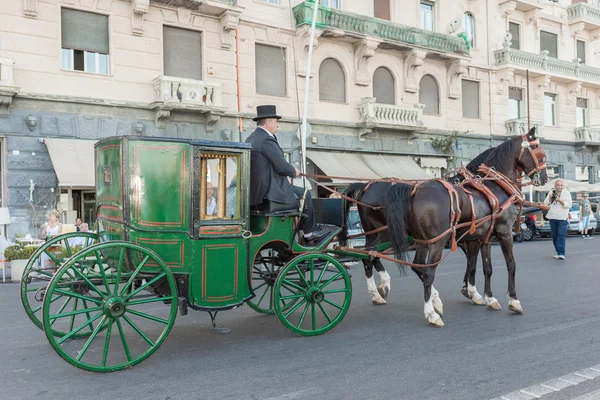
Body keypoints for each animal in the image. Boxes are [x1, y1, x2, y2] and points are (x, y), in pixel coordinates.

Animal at [340, 147, 494, 306]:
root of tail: (365, 186)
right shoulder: (471, 239)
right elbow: (474, 264)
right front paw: (474, 292)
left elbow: (473, 263)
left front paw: (468, 290)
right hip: (385, 233)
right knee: (371, 254)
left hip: (373, 232)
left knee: (369, 255)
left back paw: (379, 291)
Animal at [384, 130, 548, 326]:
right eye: (538, 151)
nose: (545, 177)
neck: (496, 184)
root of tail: (415, 191)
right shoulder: (504, 234)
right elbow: (510, 265)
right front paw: (513, 300)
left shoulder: (485, 239)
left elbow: (486, 268)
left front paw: (489, 298)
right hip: (437, 242)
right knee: (428, 272)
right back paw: (431, 312)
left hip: (422, 241)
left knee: (419, 267)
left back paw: (435, 301)